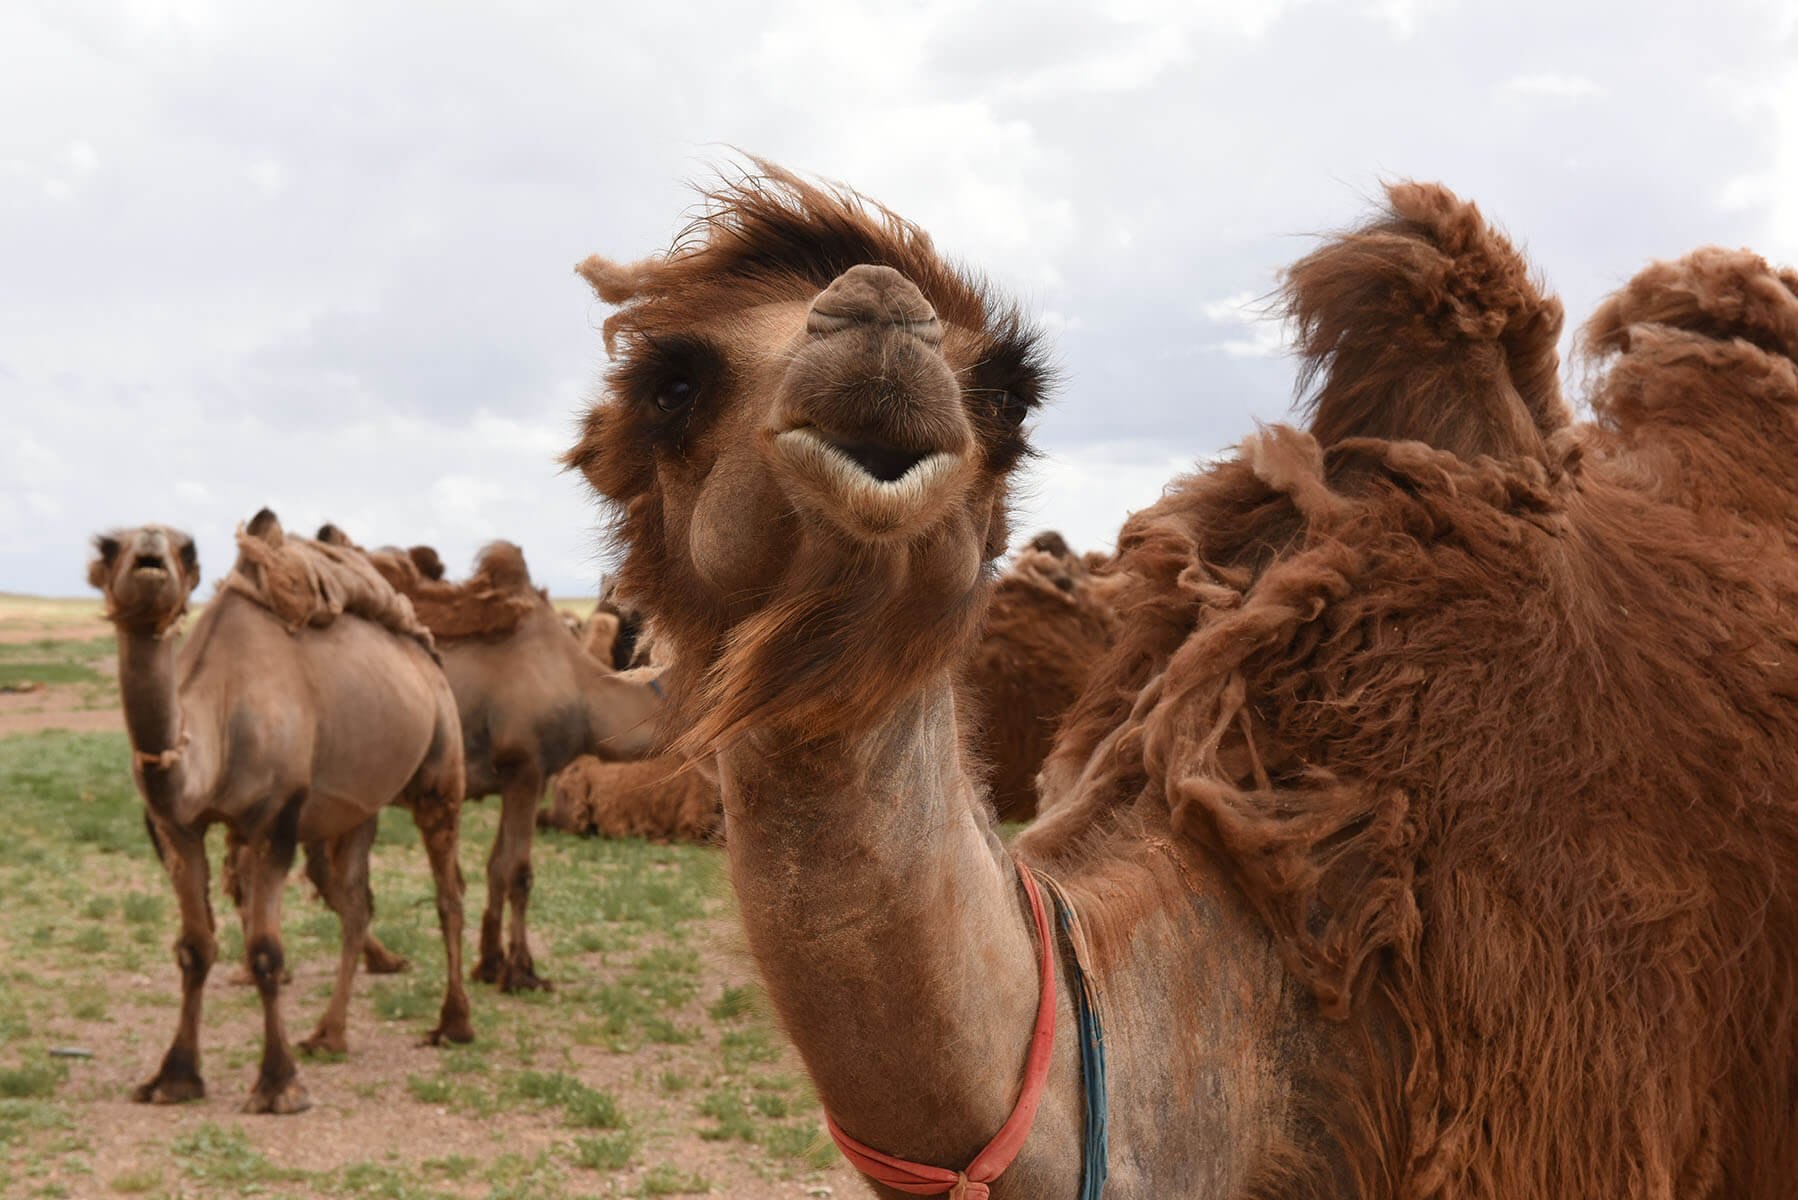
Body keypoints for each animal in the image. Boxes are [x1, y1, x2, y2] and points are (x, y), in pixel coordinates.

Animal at [90, 510, 471, 1115]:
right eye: (108, 546)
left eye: (187, 549)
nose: (149, 549)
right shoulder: (174, 826)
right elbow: (194, 949)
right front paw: (174, 1078)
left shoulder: (276, 818)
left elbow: (266, 952)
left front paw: (279, 1086)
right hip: (354, 807)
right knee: (355, 902)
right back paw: (329, 1034)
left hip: (441, 766)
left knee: (448, 890)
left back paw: (453, 1024)